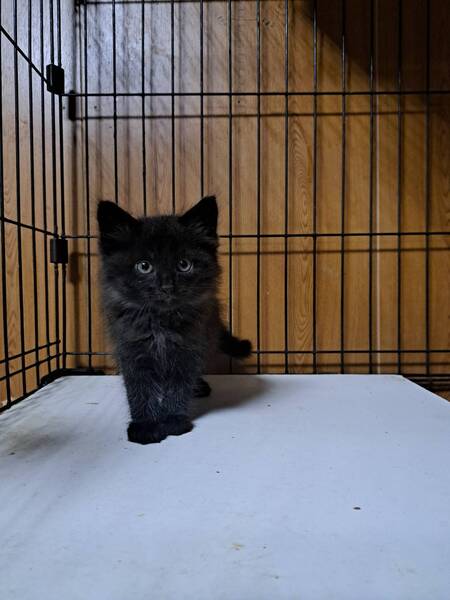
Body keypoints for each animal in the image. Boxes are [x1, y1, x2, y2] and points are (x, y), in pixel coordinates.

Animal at [97, 196, 252, 444]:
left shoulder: (189, 348)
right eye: (144, 266)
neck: (161, 323)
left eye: (184, 265)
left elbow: (179, 386)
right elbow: (139, 389)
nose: (167, 286)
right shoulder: (131, 349)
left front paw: (172, 421)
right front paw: (145, 425)